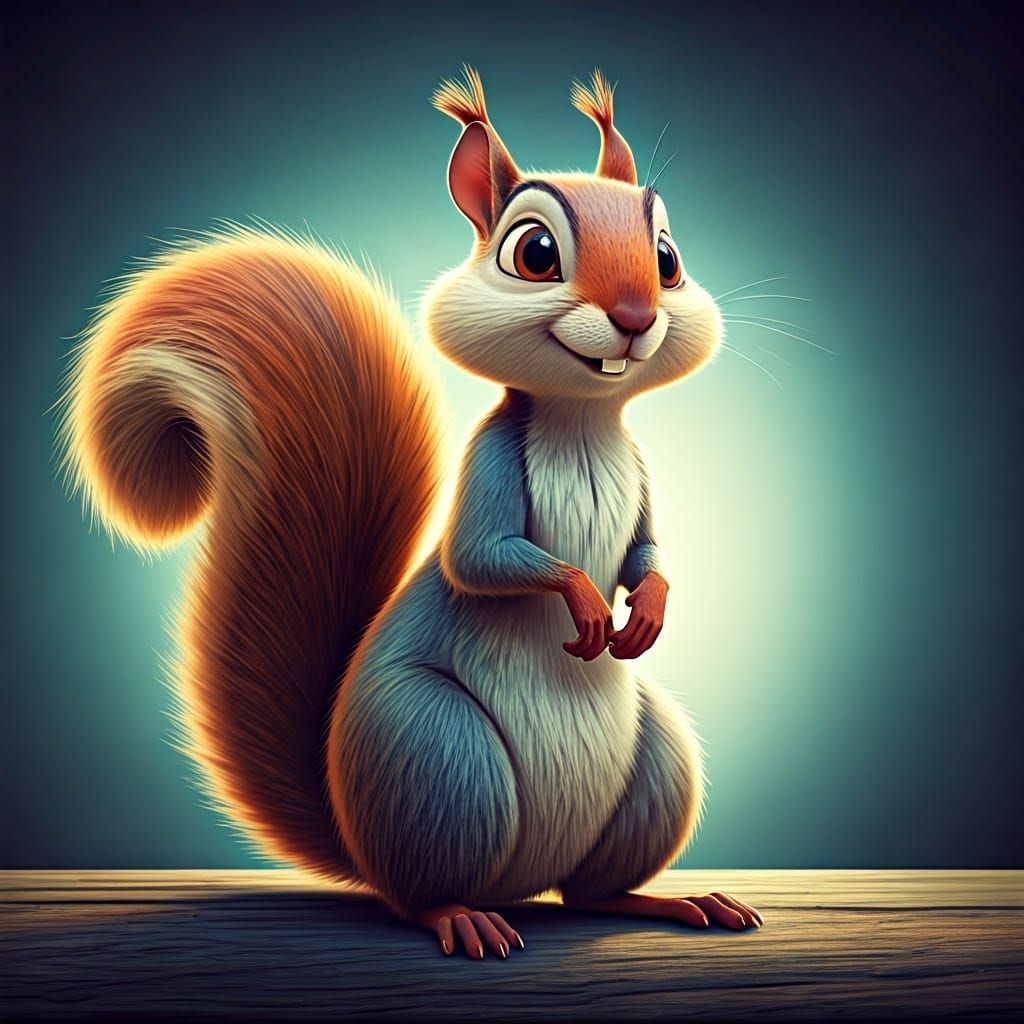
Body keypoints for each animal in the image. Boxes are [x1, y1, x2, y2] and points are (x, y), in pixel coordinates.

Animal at [59, 67, 763, 959]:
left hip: (657, 764)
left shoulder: (641, 477)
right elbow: (480, 557)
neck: (584, 421)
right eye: (534, 253)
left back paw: (675, 900)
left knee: (593, 892)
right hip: (439, 757)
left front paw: (649, 609)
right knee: (414, 895)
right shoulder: (490, 465)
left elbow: (649, 553)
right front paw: (585, 601)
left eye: (667, 259)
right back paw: (462, 918)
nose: (637, 318)